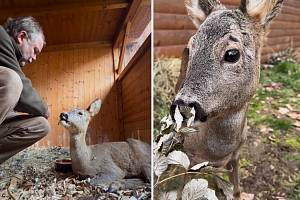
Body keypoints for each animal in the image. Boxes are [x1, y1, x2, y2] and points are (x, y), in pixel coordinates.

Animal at [171, 0, 284, 197]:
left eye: (232, 54)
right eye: (191, 48)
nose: (183, 106)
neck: (217, 152)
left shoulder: (236, 156)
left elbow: (236, 191)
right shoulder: (189, 159)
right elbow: (181, 193)